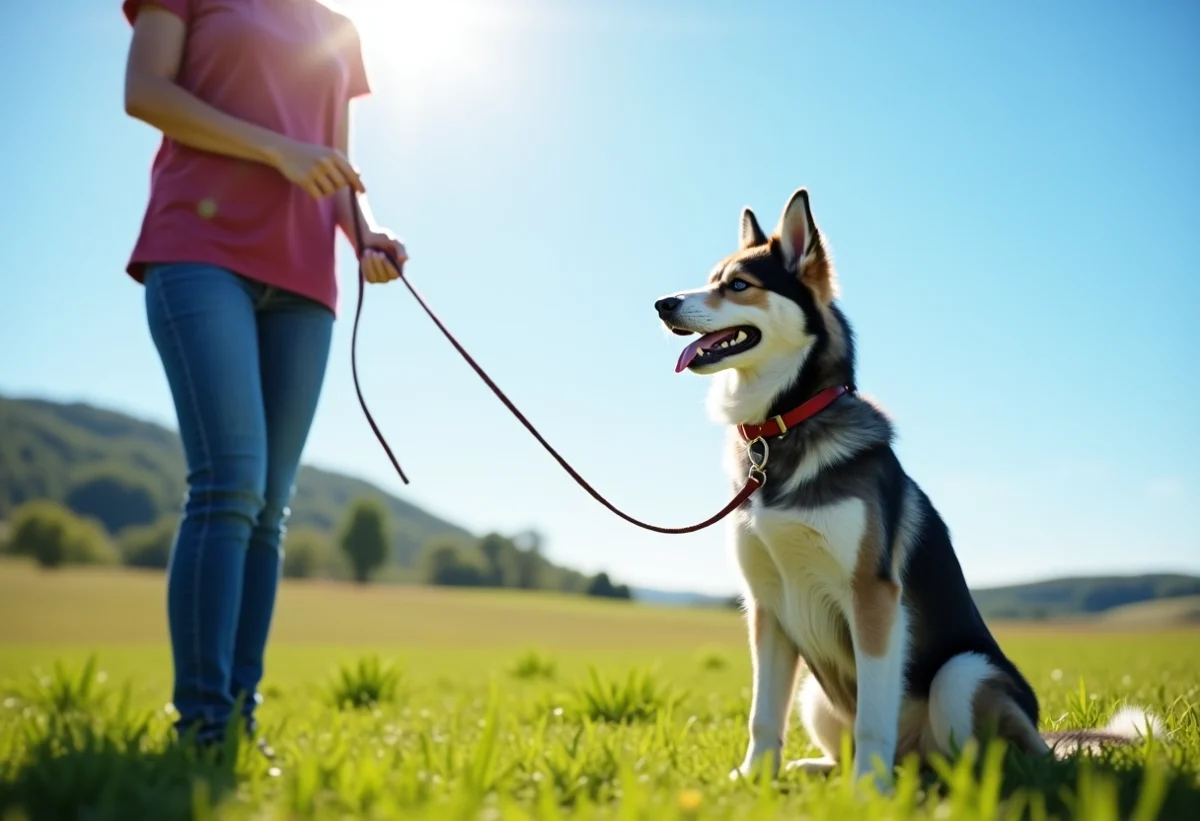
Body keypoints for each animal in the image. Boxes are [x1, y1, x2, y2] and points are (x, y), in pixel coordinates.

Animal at [657, 189, 1161, 787]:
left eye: (738, 285)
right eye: (710, 278)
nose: (662, 304)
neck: (781, 429)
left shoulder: (872, 596)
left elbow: (875, 714)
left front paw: (866, 792)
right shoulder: (768, 605)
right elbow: (763, 714)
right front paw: (753, 778)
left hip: (962, 674)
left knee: (971, 762)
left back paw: (916, 783)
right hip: (816, 697)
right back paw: (820, 768)